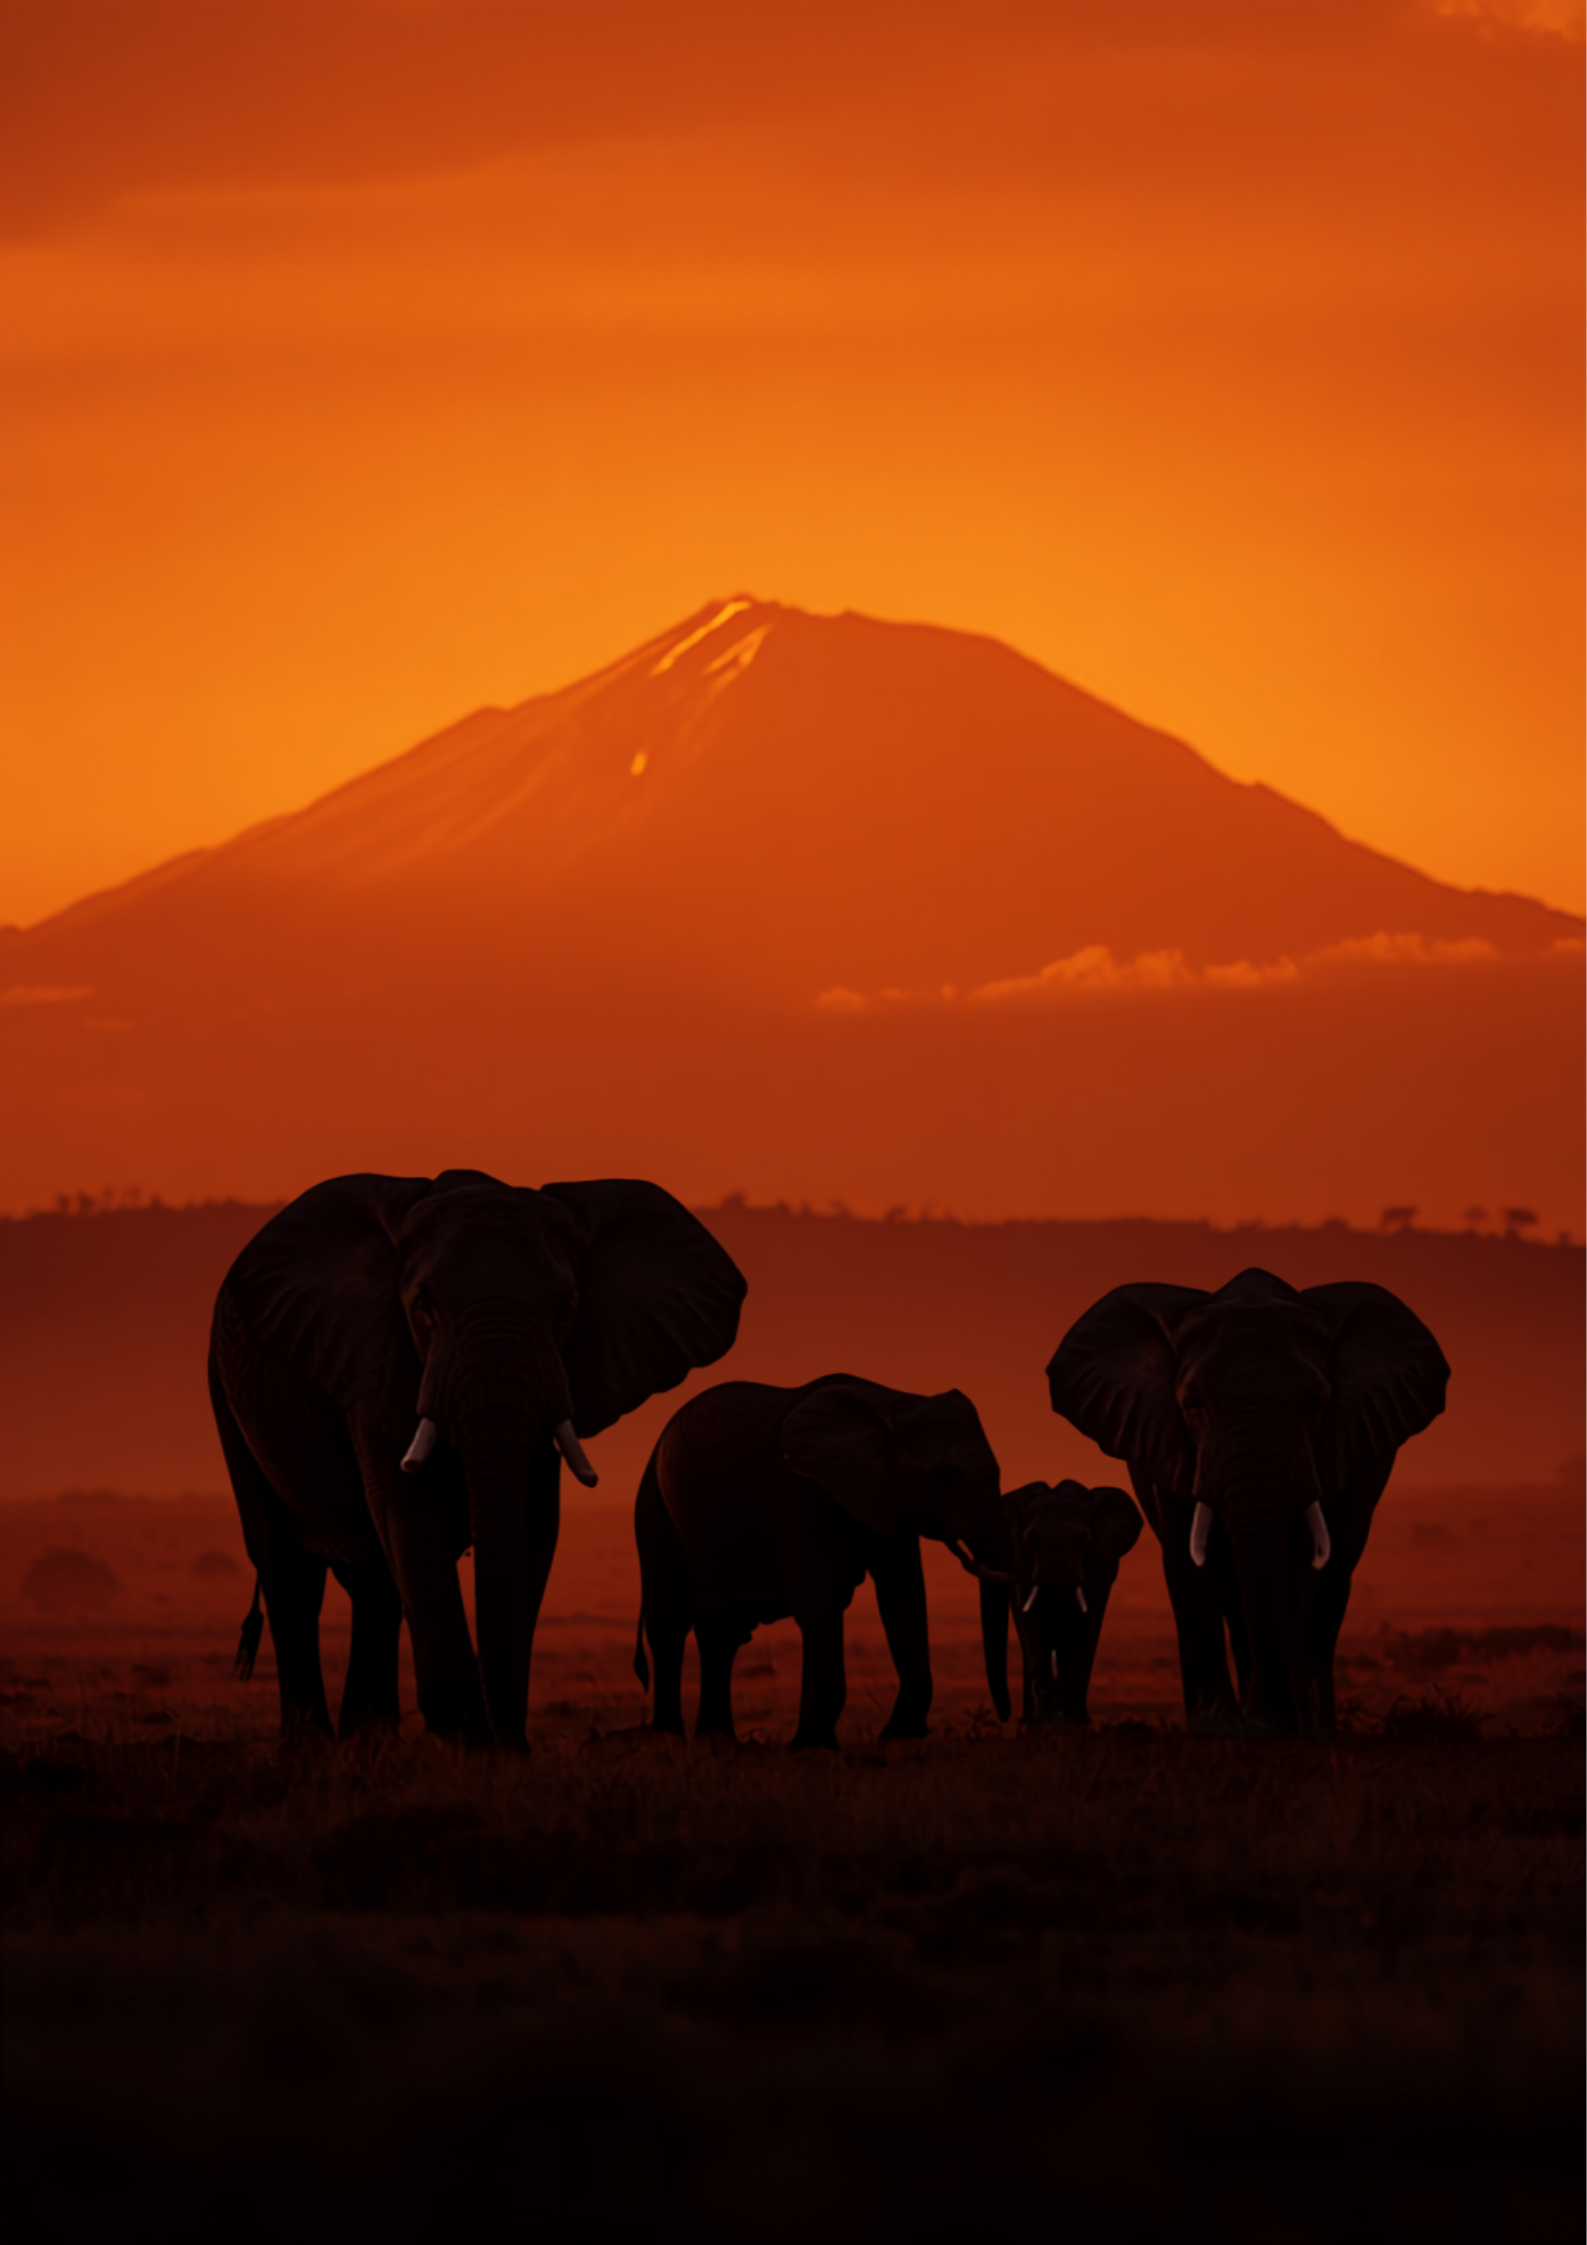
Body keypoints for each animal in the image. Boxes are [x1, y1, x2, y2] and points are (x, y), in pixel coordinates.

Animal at [208, 1170, 745, 1749]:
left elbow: (533, 1524)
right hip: (227, 1397)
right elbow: (410, 1512)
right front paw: (473, 1741)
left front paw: (504, 1747)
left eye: (567, 1310)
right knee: (288, 1567)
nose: (506, 1739)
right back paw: (311, 1746)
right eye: (424, 1309)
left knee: (374, 1586)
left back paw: (369, 1741)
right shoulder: (376, 1357)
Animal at [632, 1374, 1017, 1749]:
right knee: (670, 1622)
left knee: (722, 1632)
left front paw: (898, 1736)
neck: (893, 1401)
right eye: (943, 1476)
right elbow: (819, 1601)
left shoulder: (886, 1496)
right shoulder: (802, 1490)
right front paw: (814, 1747)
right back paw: (669, 1736)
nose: (1006, 1715)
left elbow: (903, 1596)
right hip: (654, 1508)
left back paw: (718, 1739)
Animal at [985, 1479, 1143, 1726]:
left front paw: (1073, 1723)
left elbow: (1089, 1621)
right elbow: (1030, 1622)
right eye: (1031, 1540)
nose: (1056, 1712)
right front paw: (1040, 1724)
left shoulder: (1101, 1560)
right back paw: (1029, 1721)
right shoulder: (1020, 1562)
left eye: (1085, 1540)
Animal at [1046, 1266, 1449, 1737]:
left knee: (1332, 1586)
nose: (1276, 1715)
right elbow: (1187, 1560)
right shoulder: (1170, 1443)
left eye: (1317, 1403)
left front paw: (1271, 1724)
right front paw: (1219, 1726)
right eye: (1192, 1403)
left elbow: (1298, 1561)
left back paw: (1316, 1723)